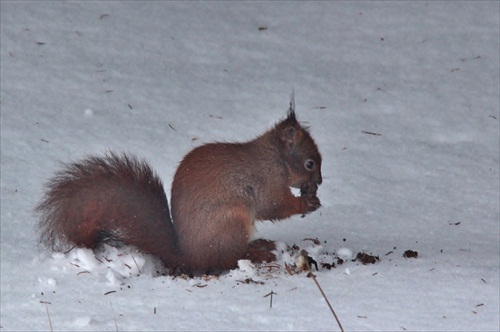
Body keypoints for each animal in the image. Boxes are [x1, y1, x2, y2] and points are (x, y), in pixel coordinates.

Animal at [36, 102, 324, 274]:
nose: (319, 183)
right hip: (230, 223)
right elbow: (273, 205)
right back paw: (256, 253)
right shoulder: (266, 180)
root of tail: (189, 257)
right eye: (310, 163)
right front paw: (307, 203)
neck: (275, 157)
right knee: (227, 259)